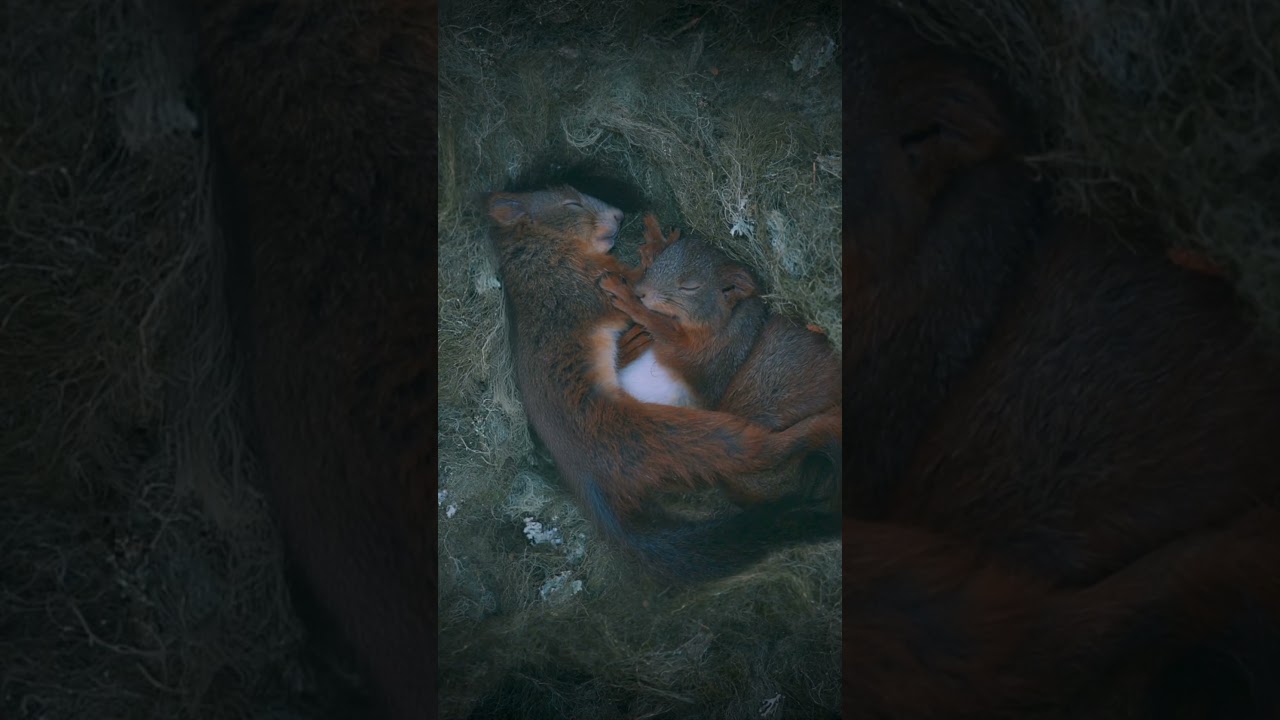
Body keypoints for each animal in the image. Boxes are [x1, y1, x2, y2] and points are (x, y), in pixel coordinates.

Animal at [598, 214, 841, 506]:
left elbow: (661, 326)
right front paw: (654, 243)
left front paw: (627, 298)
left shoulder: (705, 356)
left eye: (690, 287)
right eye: (661, 261)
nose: (641, 291)